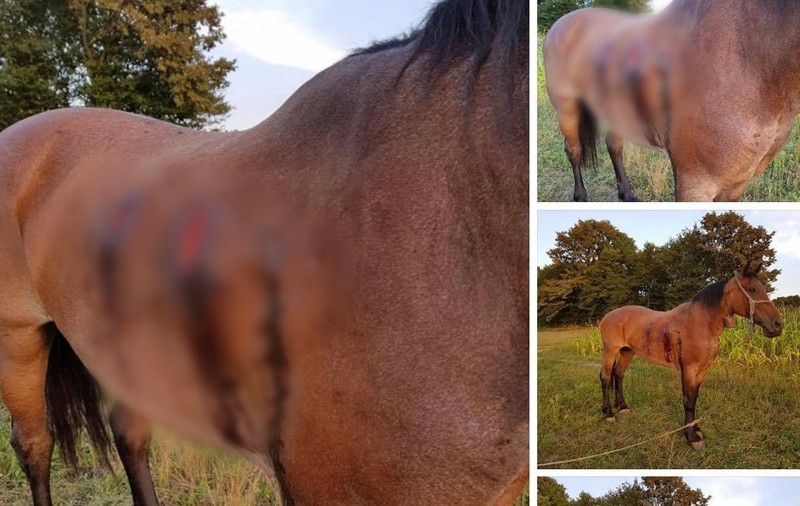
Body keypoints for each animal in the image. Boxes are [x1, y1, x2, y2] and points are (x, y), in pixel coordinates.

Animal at [543, 0, 800, 202]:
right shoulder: (695, 182)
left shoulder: (736, 183)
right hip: (566, 108)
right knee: (574, 150)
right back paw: (581, 196)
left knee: (614, 146)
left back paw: (627, 194)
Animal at [598, 261, 783, 449]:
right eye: (752, 289)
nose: (778, 324)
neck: (699, 323)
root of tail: (607, 316)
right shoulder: (688, 369)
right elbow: (688, 401)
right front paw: (692, 437)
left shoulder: (701, 370)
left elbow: (694, 398)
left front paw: (696, 429)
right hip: (610, 351)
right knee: (605, 377)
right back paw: (609, 413)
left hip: (627, 352)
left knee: (618, 374)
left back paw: (623, 407)